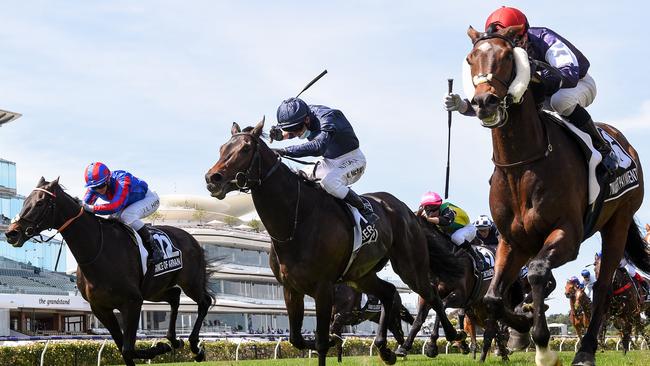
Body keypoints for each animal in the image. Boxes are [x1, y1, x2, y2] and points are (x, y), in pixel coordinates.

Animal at [5, 178, 213, 366]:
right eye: (25, 201)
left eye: (40, 202)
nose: (11, 233)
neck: (98, 251)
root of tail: (191, 238)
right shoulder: (100, 308)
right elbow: (124, 349)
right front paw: (162, 346)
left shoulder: (132, 302)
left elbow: (128, 348)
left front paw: (159, 347)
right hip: (154, 290)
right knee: (175, 296)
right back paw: (174, 340)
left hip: (190, 282)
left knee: (204, 301)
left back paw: (195, 347)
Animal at [464, 24, 644, 364]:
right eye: (471, 59)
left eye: (507, 57)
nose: (484, 102)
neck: (521, 165)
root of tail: (625, 143)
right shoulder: (513, 240)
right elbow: (494, 297)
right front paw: (521, 323)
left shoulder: (568, 234)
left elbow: (536, 273)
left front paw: (543, 347)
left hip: (619, 219)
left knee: (602, 287)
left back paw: (585, 350)